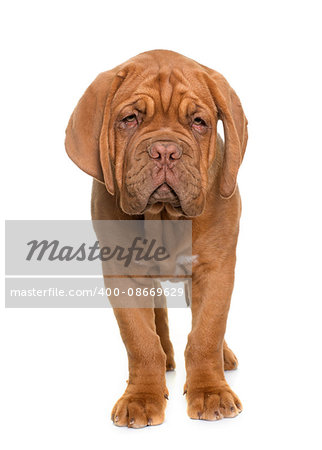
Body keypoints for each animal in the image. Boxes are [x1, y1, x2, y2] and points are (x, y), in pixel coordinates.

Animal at [64, 50, 248, 428]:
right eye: (129, 119)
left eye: (199, 122)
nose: (165, 150)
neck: (164, 217)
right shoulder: (123, 275)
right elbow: (140, 339)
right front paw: (142, 396)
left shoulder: (216, 269)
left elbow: (206, 332)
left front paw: (210, 391)